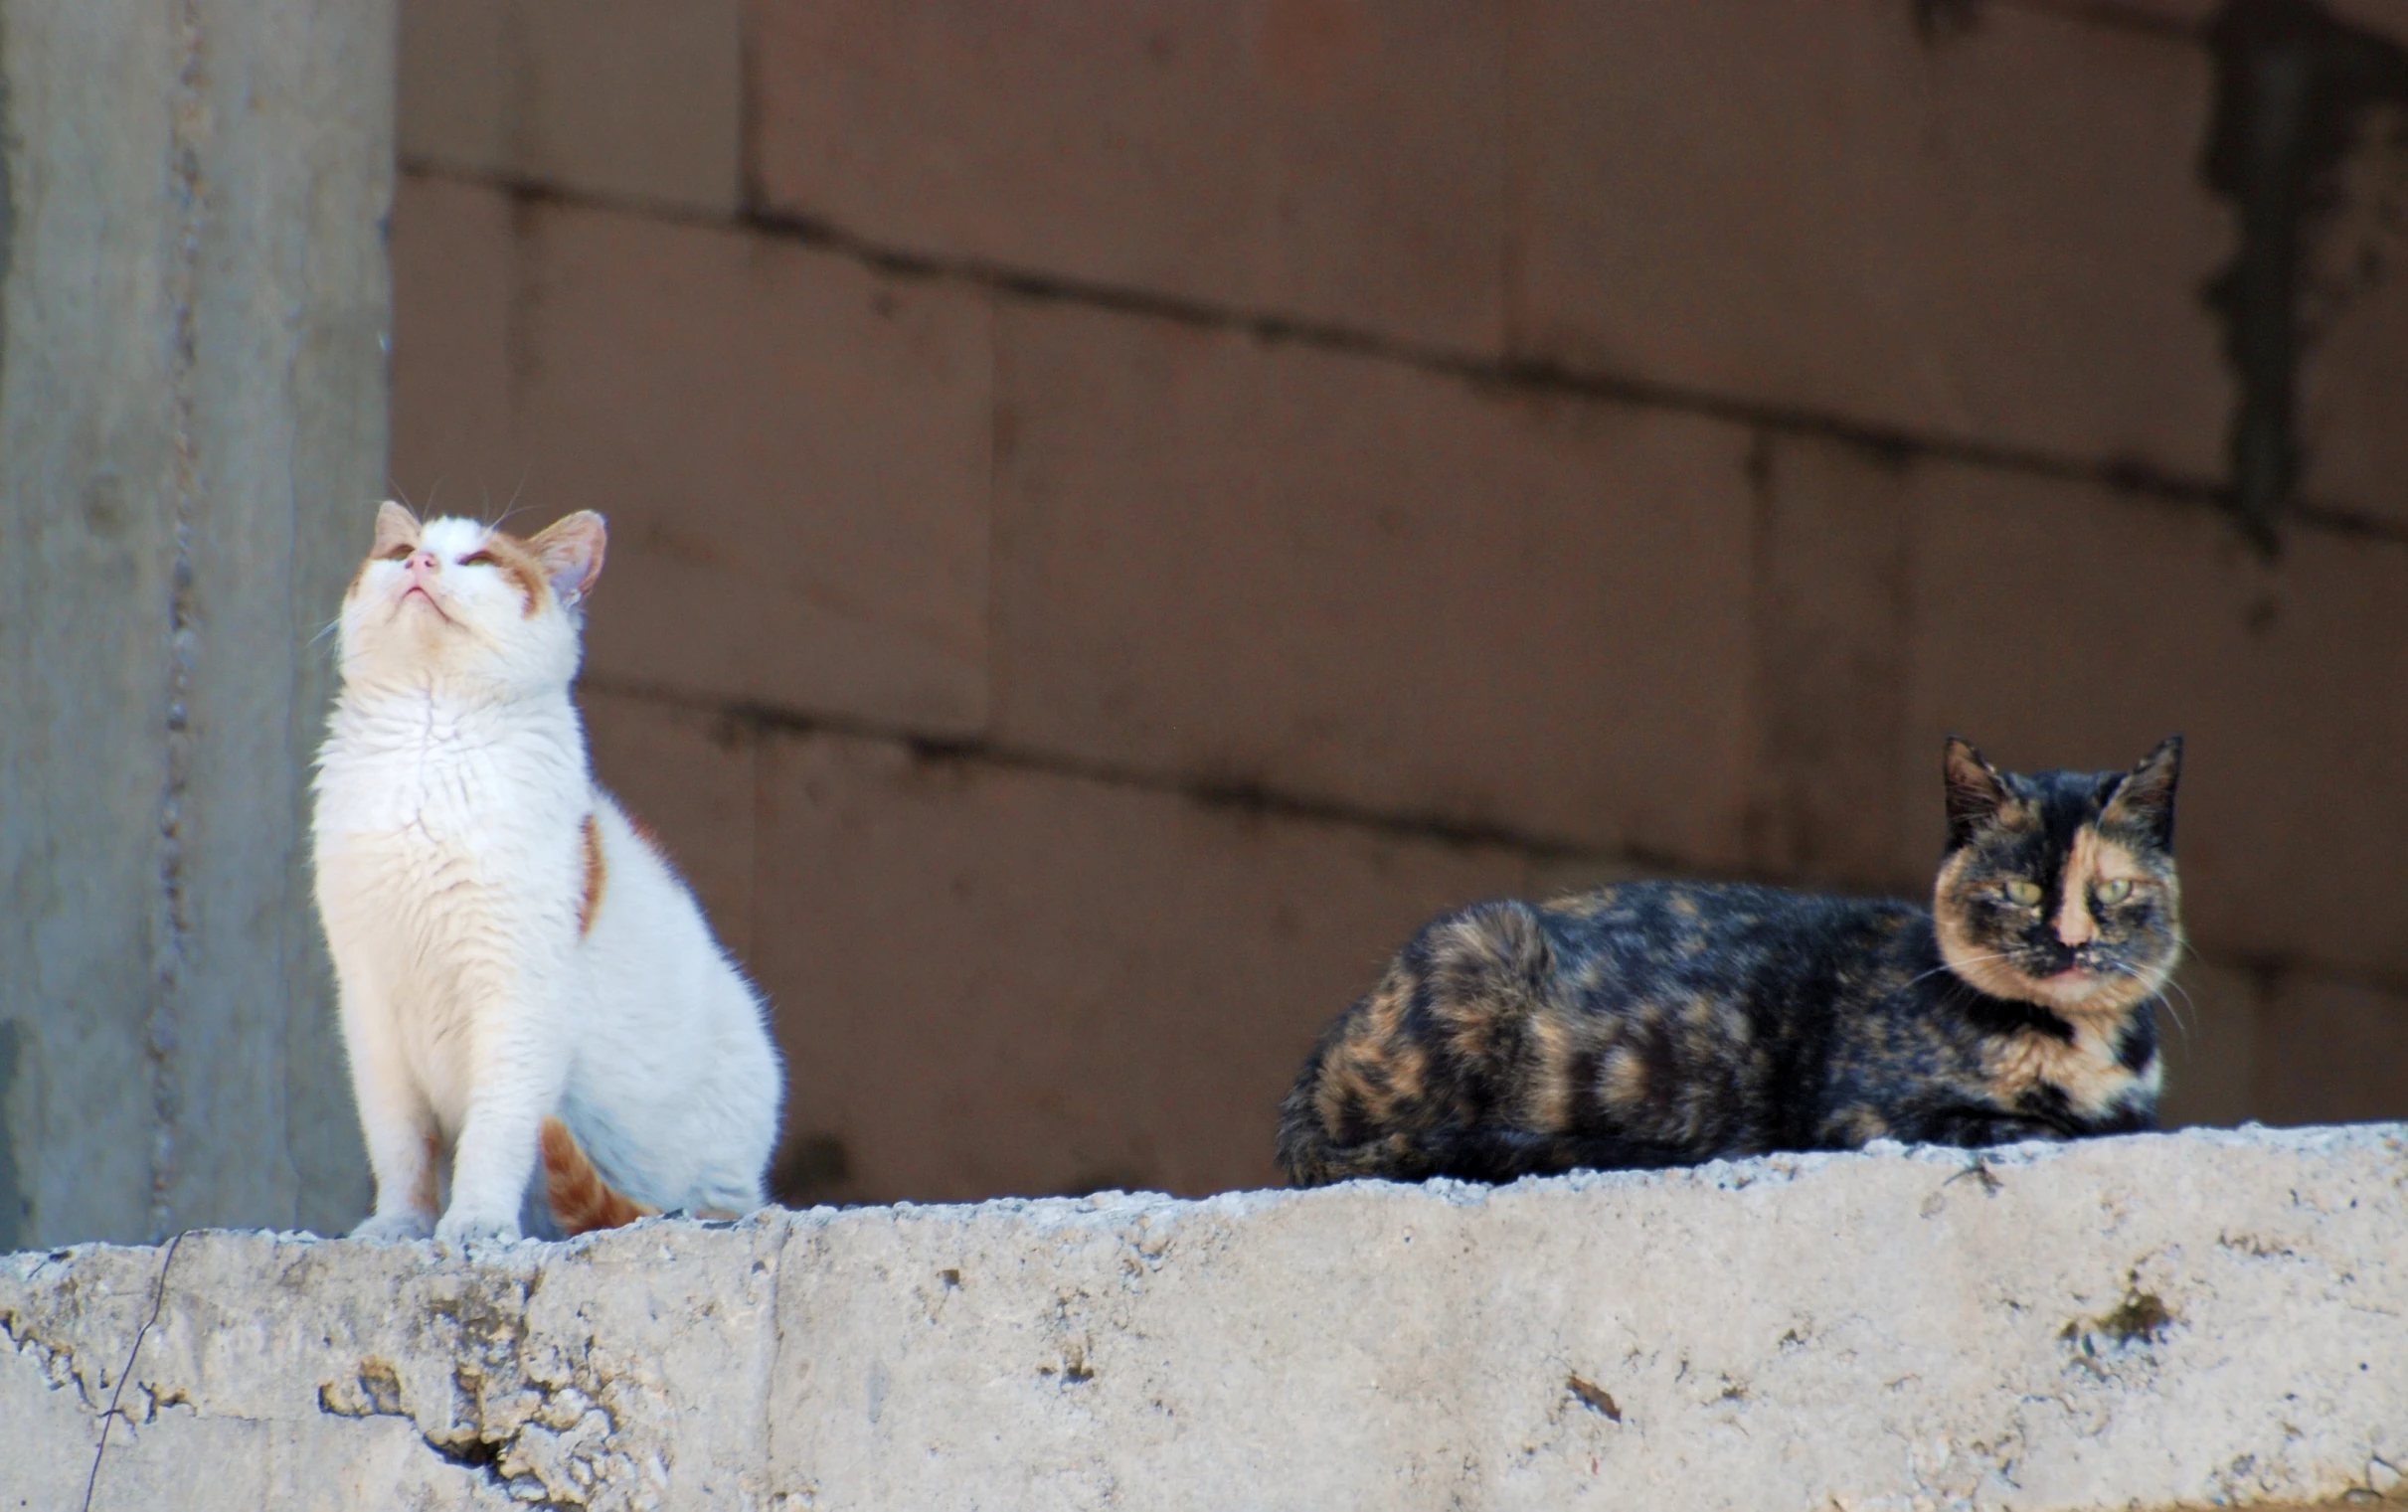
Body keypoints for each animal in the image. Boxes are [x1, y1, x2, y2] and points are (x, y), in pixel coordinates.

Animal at [312, 503, 779, 1242]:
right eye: (402, 550)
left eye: (478, 560)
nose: (421, 564)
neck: (427, 743)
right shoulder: (370, 1001)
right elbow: (400, 1143)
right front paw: (400, 1226)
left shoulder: (520, 996)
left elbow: (496, 1131)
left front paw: (476, 1223)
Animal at [1281, 737, 2186, 1189]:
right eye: (2019, 888)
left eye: (2113, 888)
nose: (2071, 940)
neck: (2081, 1041)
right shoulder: (1869, 1115)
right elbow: (2051, 1123)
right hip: (1484, 942)